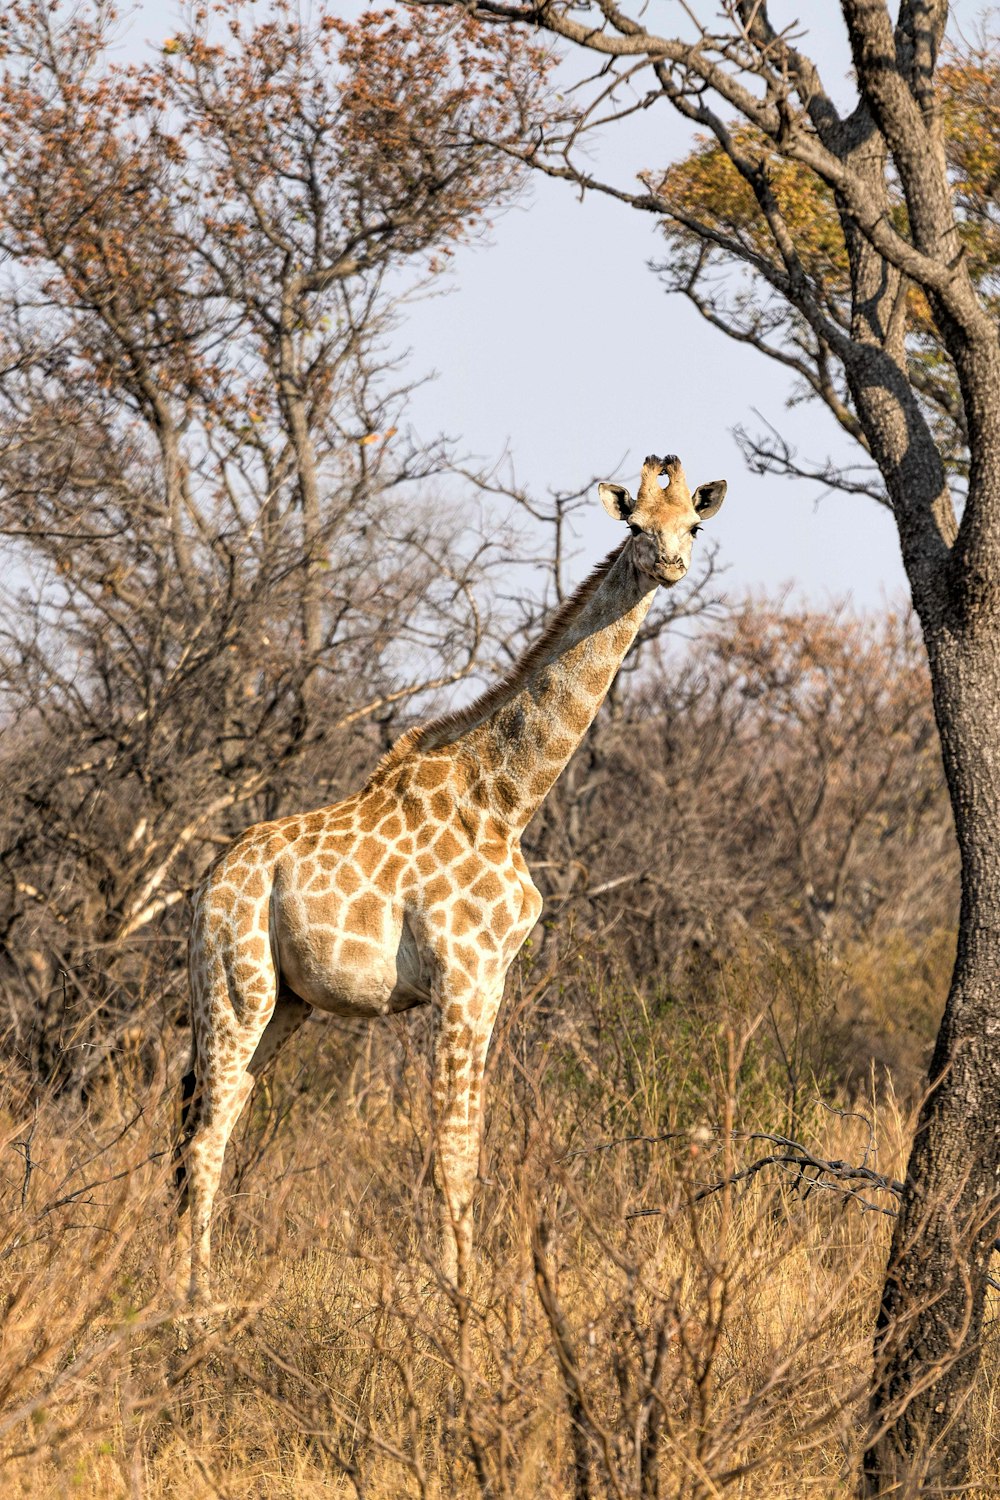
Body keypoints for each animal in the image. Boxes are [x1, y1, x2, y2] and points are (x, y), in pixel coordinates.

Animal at [177, 450, 728, 1296]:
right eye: (636, 525)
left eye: (693, 525)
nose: (668, 565)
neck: (507, 800)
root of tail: (205, 886)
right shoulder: (460, 977)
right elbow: (452, 1150)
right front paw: (462, 1297)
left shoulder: (492, 983)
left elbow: (468, 1142)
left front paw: (471, 1282)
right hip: (237, 987)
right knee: (205, 1137)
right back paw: (197, 1299)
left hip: (283, 1003)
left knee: (211, 1124)